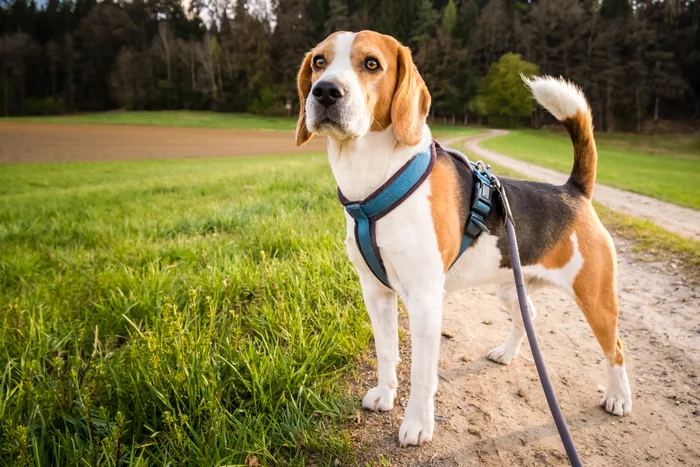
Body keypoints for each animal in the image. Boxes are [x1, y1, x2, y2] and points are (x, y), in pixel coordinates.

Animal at [292, 31, 632, 448]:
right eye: (319, 62)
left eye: (372, 64)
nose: (325, 91)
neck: (373, 182)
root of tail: (573, 191)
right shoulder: (375, 292)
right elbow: (386, 352)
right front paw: (385, 396)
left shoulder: (425, 301)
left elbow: (422, 374)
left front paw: (417, 425)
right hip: (512, 285)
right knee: (529, 316)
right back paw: (506, 353)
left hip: (596, 298)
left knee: (616, 349)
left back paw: (618, 397)